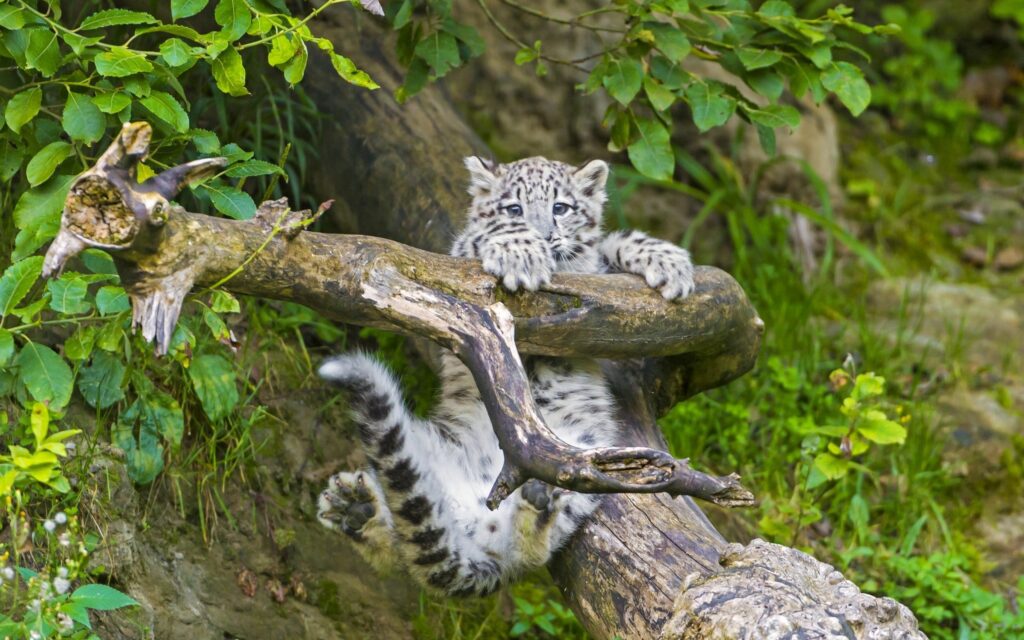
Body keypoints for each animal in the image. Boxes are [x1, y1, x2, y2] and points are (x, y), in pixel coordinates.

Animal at [316, 156, 695, 596]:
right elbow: (479, 237)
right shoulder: (457, 261)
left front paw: (670, 263)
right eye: (514, 208)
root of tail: (475, 507)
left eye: (561, 207)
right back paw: (356, 507)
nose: (544, 236)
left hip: (589, 463)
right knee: (418, 548)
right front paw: (521, 254)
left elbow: (610, 246)